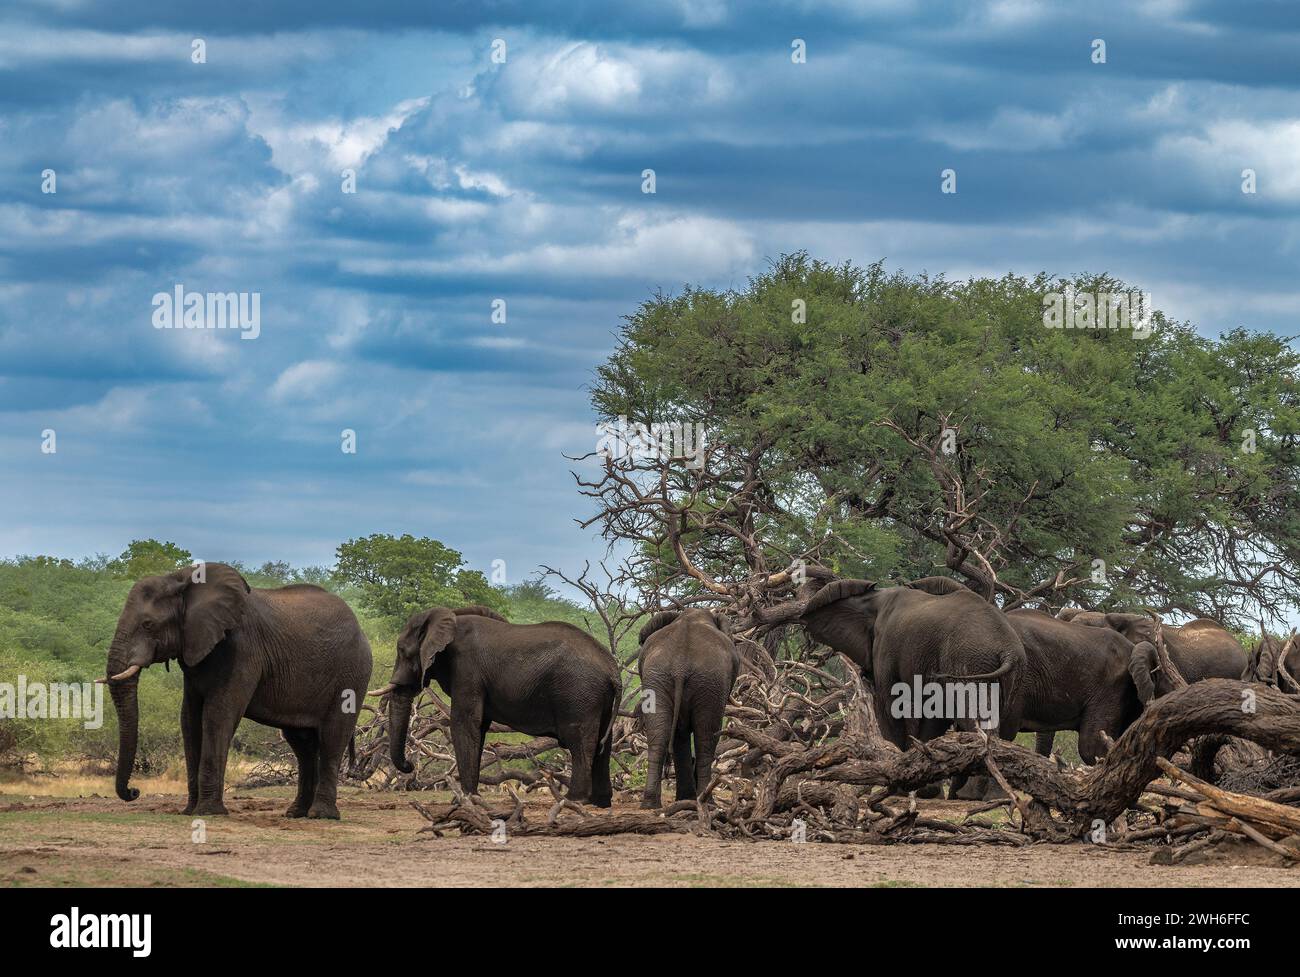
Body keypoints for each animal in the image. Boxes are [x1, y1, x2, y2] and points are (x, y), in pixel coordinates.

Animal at [102, 561, 371, 821]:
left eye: (148, 624)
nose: (134, 791)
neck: (182, 578)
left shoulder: (243, 649)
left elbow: (218, 715)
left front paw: (208, 812)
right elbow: (189, 719)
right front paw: (189, 811)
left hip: (352, 673)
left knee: (332, 738)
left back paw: (321, 815)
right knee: (302, 743)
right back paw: (296, 813)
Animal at [371, 608, 618, 805]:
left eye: (402, 650)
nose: (409, 765)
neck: (448, 616)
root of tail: (612, 669)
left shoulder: (467, 669)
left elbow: (464, 723)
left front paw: (466, 799)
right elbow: (478, 728)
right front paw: (467, 798)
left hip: (578, 694)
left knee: (579, 741)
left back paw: (573, 800)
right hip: (597, 699)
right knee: (603, 743)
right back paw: (600, 802)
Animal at [637, 610, 743, 810]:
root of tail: (680, 665)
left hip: (657, 678)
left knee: (659, 734)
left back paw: (651, 805)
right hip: (710, 683)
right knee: (707, 737)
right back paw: (706, 801)